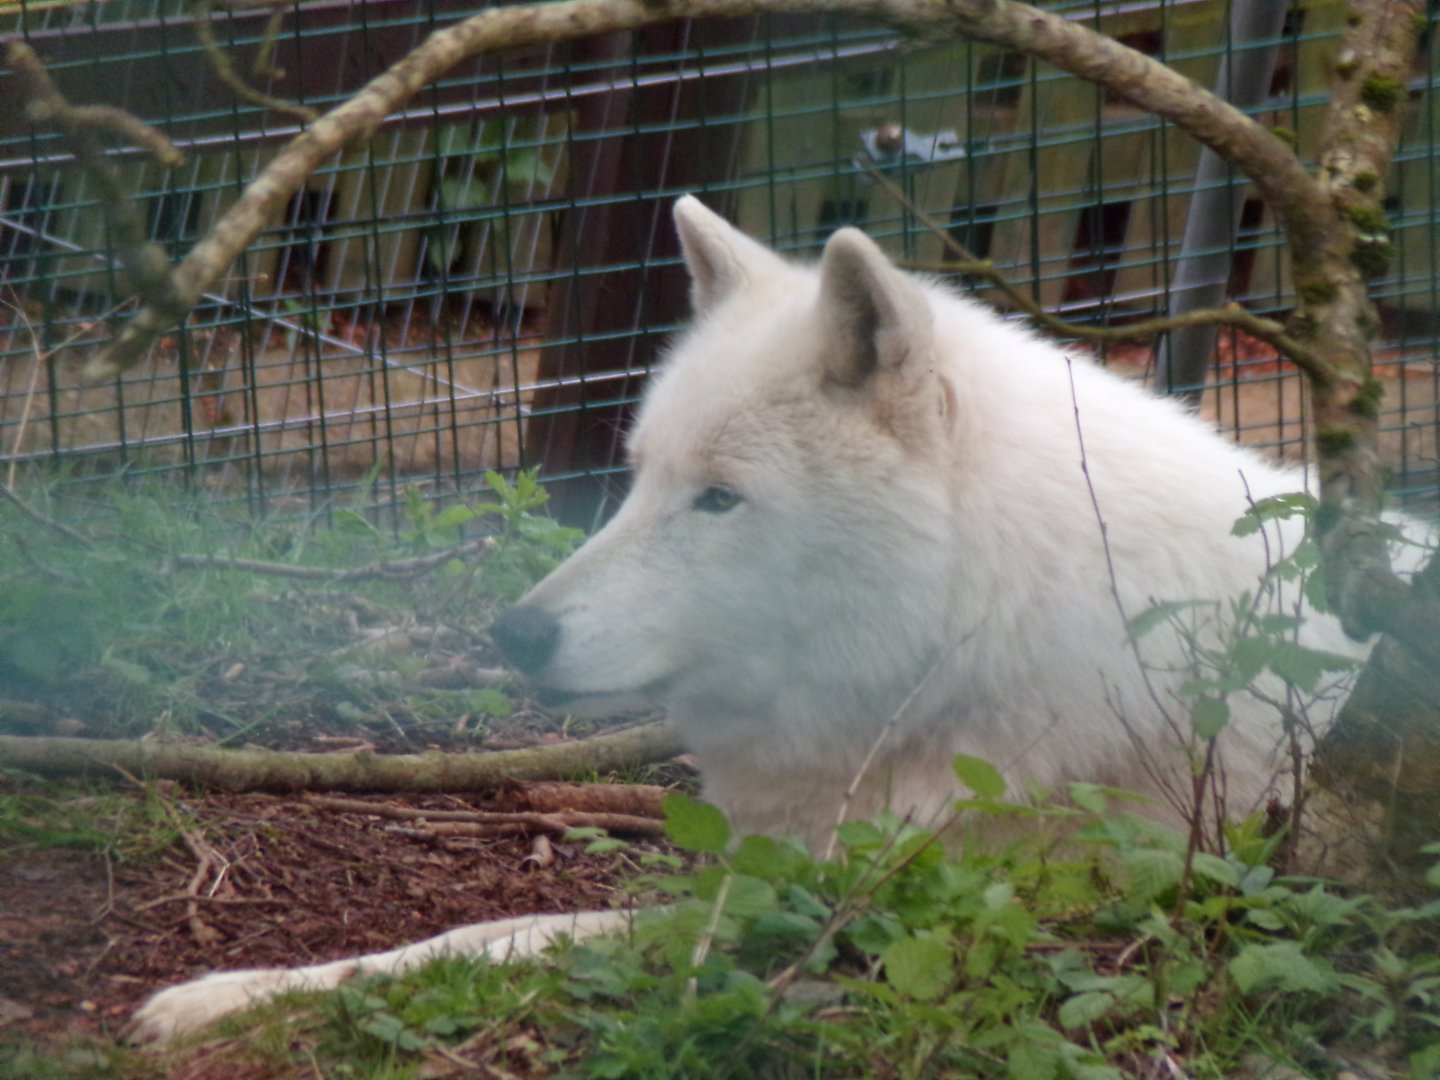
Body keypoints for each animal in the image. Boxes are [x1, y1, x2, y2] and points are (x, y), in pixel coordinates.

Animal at [132, 196, 1385, 1042]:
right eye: (638, 476)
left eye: (721, 499)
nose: (514, 637)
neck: (990, 627)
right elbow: (460, 937)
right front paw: (227, 993)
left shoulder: (859, 911)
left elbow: (518, 941)